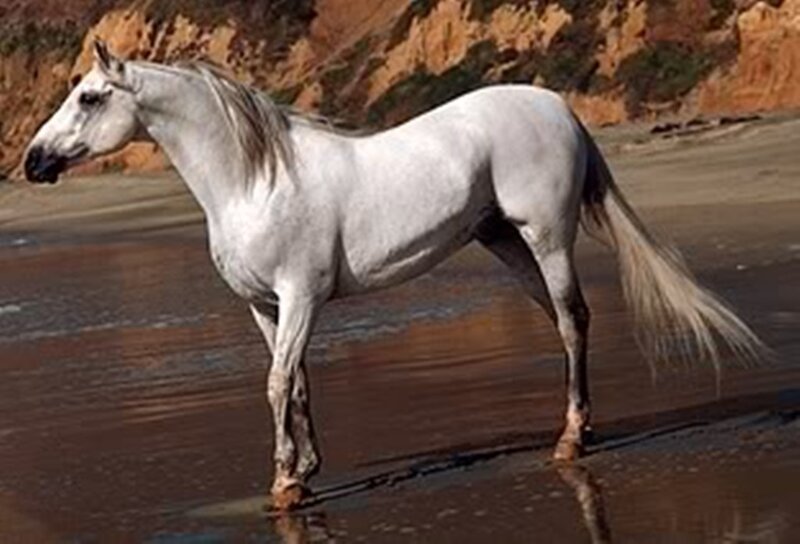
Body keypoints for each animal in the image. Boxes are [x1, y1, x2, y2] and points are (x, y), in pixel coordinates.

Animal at [24, 41, 764, 509]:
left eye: (89, 97)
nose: (33, 163)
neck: (253, 182)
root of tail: (558, 107)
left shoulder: (301, 297)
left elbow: (276, 384)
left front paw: (285, 486)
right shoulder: (265, 306)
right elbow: (294, 382)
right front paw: (308, 471)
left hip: (547, 236)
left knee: (575, 319)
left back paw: (570, 439)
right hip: (502, 241)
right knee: (560, 320)